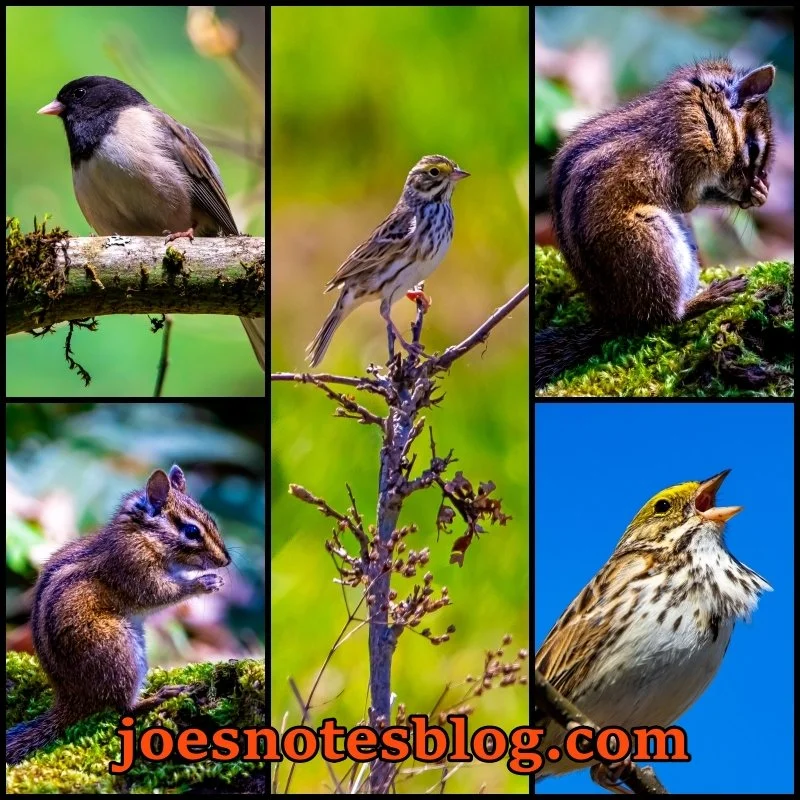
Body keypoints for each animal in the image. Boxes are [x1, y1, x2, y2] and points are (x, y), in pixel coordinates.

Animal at [6, 465, 231, 765]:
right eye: (192, 531)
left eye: (212, 520)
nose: (226, 561)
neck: (144, 536)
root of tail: (71, 698)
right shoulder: (134, 568)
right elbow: (160, 594)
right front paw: (205, 583)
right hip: (120, 650)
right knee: (124, 708)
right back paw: (162, 695)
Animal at [536, 59, 775, 390]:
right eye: (753, 148)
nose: (754, 184)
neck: (704, 111)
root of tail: (619, 316)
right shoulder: (691, 161)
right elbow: (690, 200)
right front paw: (751, 193)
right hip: (652, 239)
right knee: (666, 318)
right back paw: (710, 296)